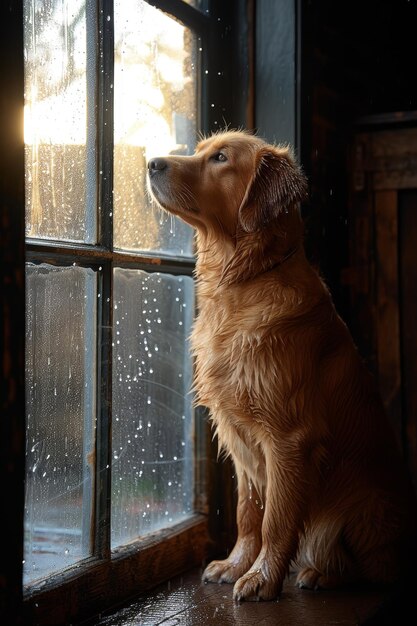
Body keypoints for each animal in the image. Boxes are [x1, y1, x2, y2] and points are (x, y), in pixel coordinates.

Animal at [147, 128, 416, 600]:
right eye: (200, 151)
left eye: (220, 158)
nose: (152, 163)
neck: (242, 280)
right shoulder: (237, 437)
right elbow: (248, 515)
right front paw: (236, 564)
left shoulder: (289, 438)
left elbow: (275, 519)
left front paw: (261, 579)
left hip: (365, 509)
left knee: (378, 570)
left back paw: (320, 575)